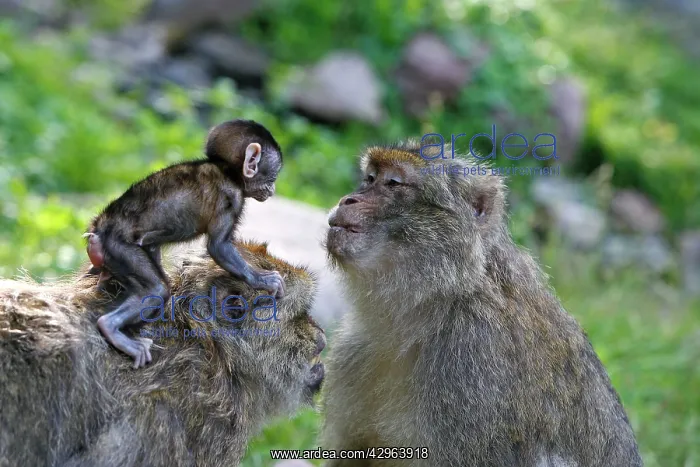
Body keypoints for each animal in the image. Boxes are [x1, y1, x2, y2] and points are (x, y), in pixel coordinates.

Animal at [84, 119, 286, 368]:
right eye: (273, 176)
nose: (273, 190)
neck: (226, 170)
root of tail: (98, 231)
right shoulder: (231, 198)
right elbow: (218, 247)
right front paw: (262, 280)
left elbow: (153, 245)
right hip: (117, 247)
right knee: (156, 289)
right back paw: (111, 328)